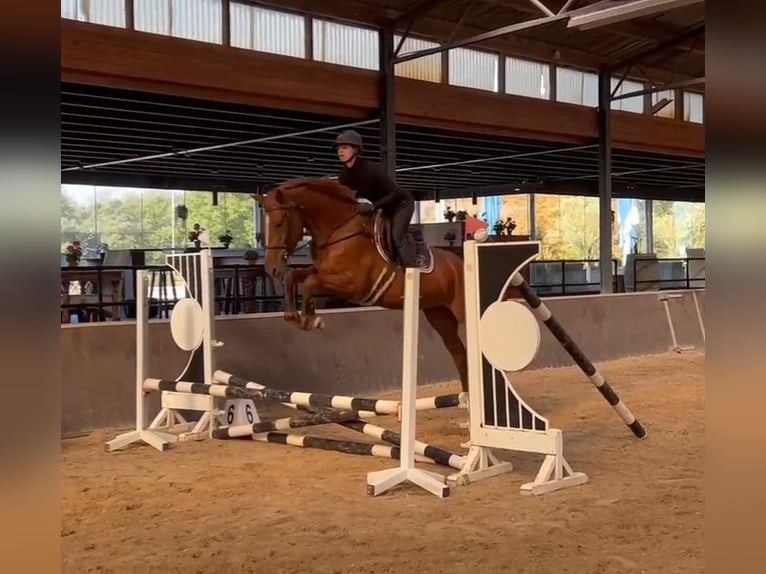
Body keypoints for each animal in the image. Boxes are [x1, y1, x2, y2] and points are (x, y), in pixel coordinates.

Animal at [252, 180, 472, 394]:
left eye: (280, 222)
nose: (271, 268)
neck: (338, 231)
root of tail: (459, 263)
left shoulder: (352, 285)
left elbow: (310, 283)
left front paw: (309, 319)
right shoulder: (321, 271)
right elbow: (293, 277)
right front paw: (293, 316)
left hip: (461, 312)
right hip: (439, 316)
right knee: (459, 353)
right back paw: (466, 396)